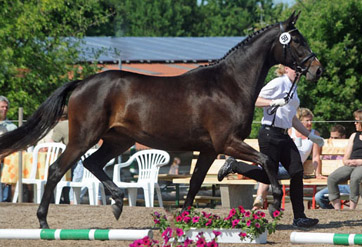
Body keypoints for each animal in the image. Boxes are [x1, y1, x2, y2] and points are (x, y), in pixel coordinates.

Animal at [0, 11, 322, 228]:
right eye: (296, 41)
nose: (317, 69)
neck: (229, 84)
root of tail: (82, 83)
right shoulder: (227, 142)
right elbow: (267, 161)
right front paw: (275, 203)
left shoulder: (209, 149)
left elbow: (195, 181)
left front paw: (183, 218)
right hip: (83, 138)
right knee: (56, 169)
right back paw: (43, 222)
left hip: (119, 140)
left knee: (92, 163)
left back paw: (117, 203)